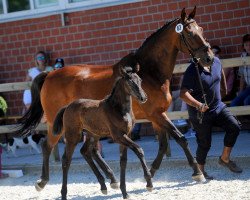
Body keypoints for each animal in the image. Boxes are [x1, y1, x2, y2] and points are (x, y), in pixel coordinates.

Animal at [53, 65, 151, 198]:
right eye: (130, 82)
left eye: (140, 80)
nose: (143, 97)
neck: (118, 109)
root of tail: (67, 107)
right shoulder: (118, 136)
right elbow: (138, 149)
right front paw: (149, 182)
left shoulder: (127, 134)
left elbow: (123, 161)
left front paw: (125, 192)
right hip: (73, 135)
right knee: (66, 160)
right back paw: (64, 194)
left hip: (93, 134)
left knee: (86, 151)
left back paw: (107, 184)